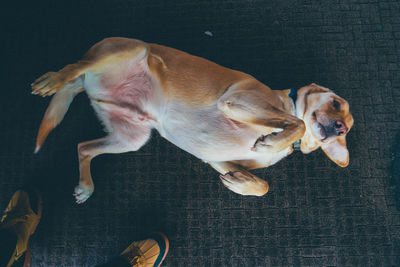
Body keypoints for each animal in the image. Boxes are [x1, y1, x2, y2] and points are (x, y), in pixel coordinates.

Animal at [31, 37, 354, 204]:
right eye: (336, 103)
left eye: (347, 130)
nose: (339, 127)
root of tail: (87, 83)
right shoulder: (235, 103)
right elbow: (297, 124)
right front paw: (271, 141)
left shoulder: (216, 158)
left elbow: (262, 185)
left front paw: (242, 182)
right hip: (131, 49)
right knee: (74, 66)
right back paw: (52, 80)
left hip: (132, 138)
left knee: (83, 148)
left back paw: (85, 186)